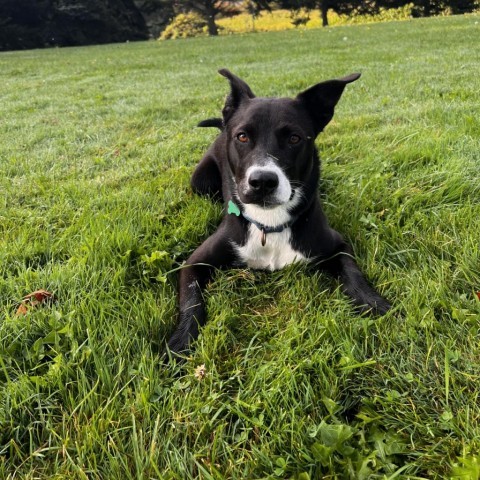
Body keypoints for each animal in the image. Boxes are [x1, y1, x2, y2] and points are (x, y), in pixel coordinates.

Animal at [167, 69, 392, 358]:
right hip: (200, 181)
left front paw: (374, 303)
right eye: (242, 137)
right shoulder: (194, 262)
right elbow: (191, 301)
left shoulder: (337, 245)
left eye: (294, 138)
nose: (262, 181)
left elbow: (353, 273)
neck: (269, 223)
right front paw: (181, 341)